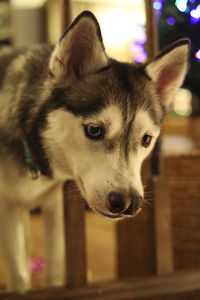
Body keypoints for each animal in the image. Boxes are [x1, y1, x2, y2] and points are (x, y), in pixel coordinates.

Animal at [0, 11, 189, 290]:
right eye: (94, 130)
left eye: (146, 139)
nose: (129, 203)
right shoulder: (7, 208)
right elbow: (19, 275)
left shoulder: (56, 206)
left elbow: (56, 269)